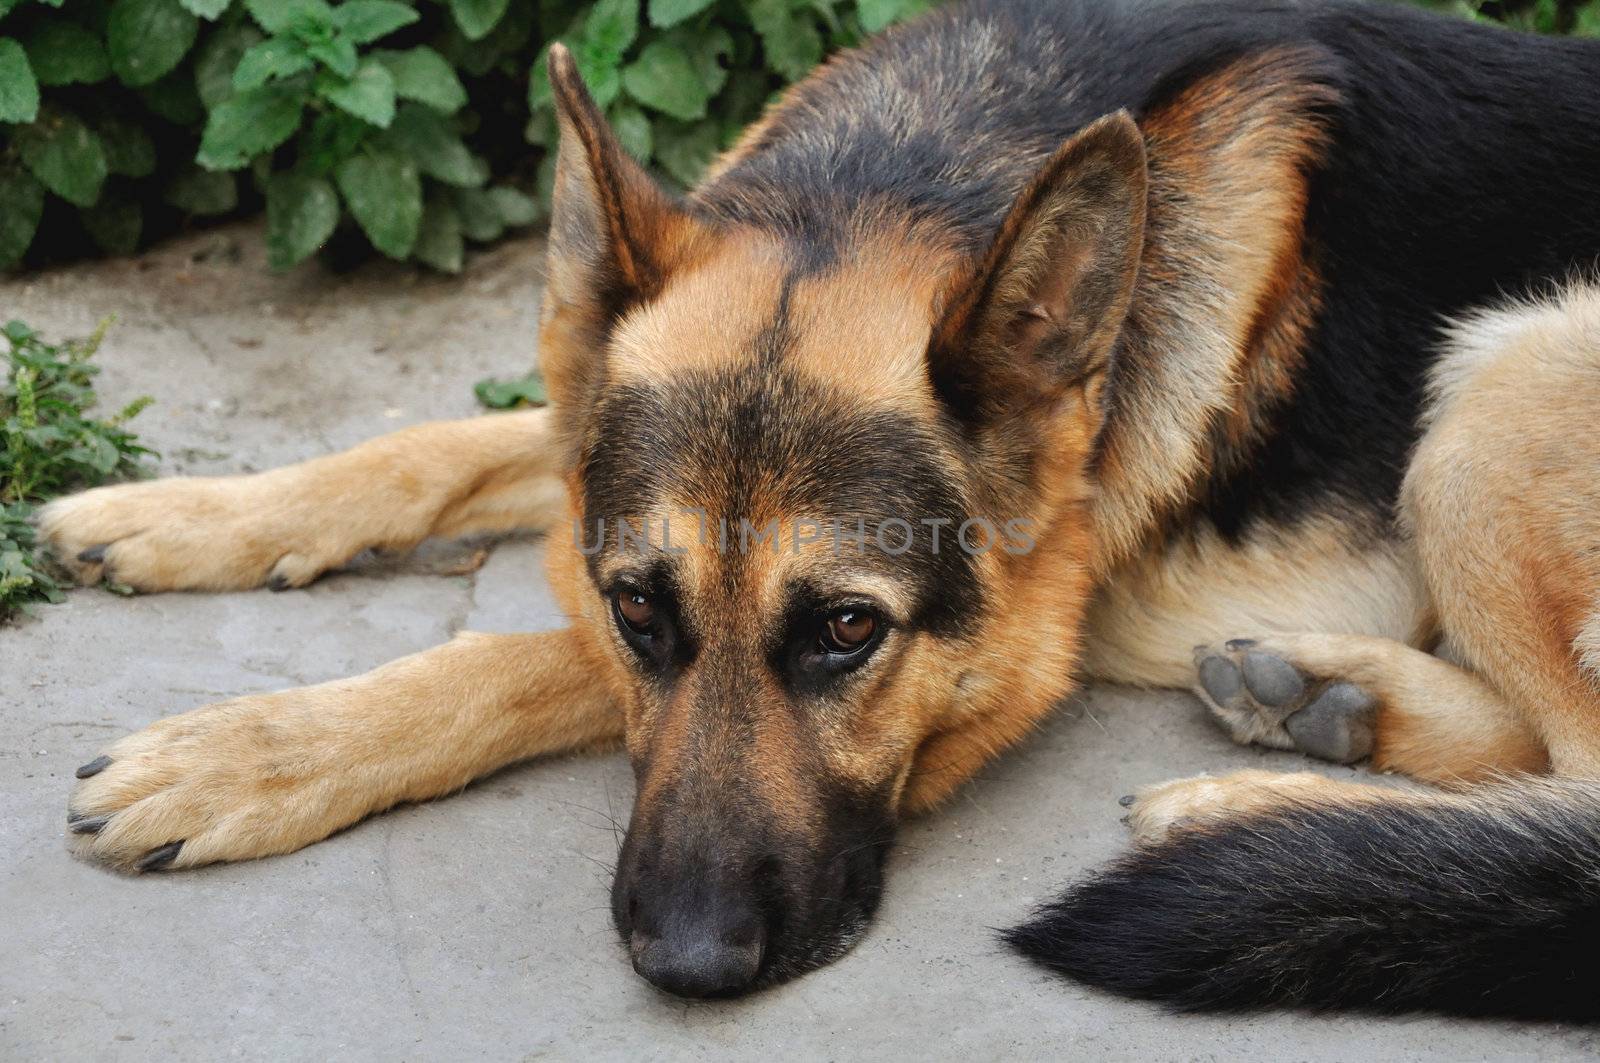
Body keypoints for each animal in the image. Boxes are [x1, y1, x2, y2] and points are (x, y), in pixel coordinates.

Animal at [34, 0, 1600, 1024]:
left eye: (849, 630)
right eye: (641, 603)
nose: (687, 961)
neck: (890, 184)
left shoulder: (1042, 620)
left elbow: (511, 657)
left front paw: (244, 754)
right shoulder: (586, 451)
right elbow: (435, 443)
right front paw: (179, 513)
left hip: (1506, 372)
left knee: (1576, 782)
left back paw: (1238, 816)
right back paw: (1321, 694)